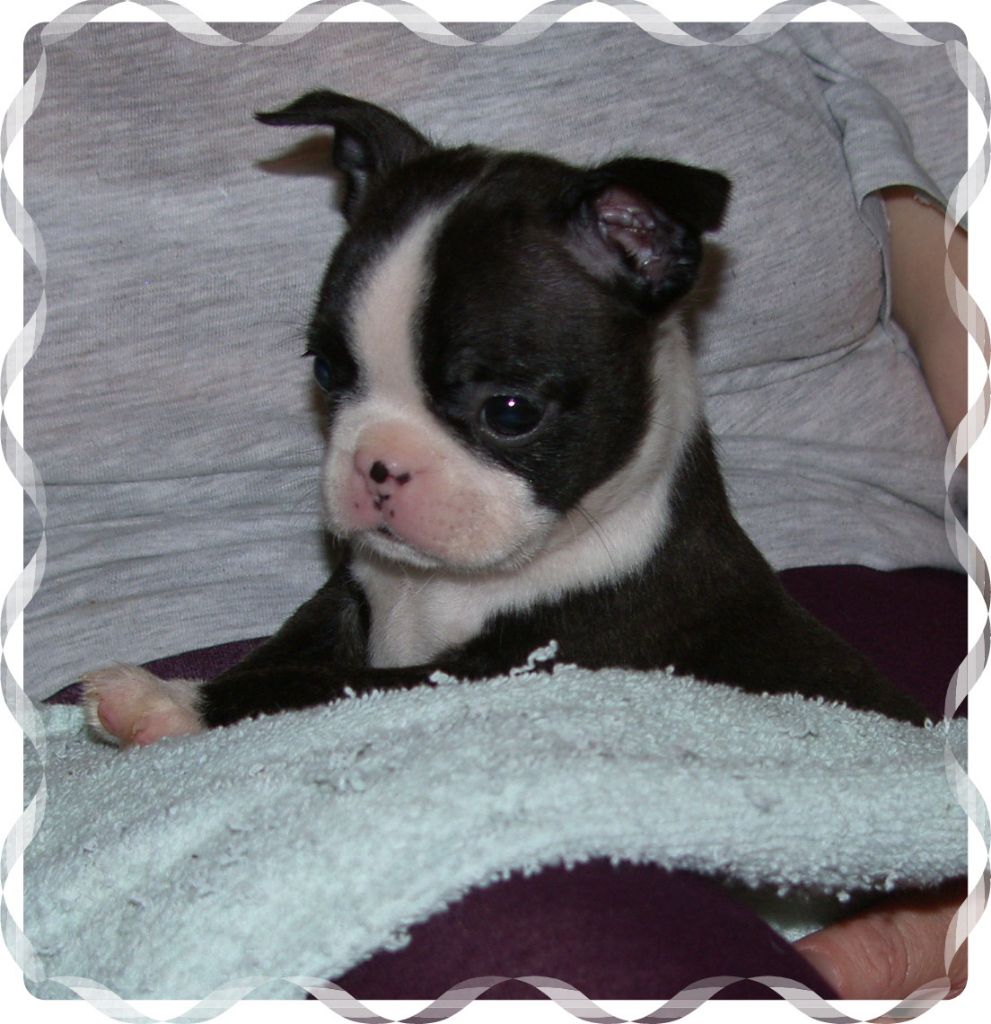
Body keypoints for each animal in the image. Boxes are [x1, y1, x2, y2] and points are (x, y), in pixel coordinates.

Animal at [83, 90, 926, 747]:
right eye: (326, 371)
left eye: (510, 412)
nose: (377, 466)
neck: (439, 587)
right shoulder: (347, 596)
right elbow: (287, 650)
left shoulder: (505, 669)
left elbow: (311, 685)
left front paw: (171, 701)